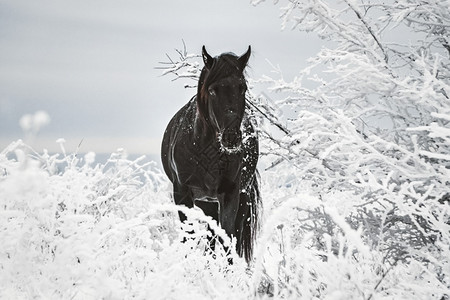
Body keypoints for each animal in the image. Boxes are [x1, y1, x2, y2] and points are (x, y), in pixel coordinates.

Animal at [162, 45, 260, 262]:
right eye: (213, 90)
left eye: (242, 88)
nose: (232, 138)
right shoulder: (182, 193)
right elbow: (189, 237)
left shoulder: (230, 194)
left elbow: (227, 238)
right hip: (207, 203)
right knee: (209, 237)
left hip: (237, 199)